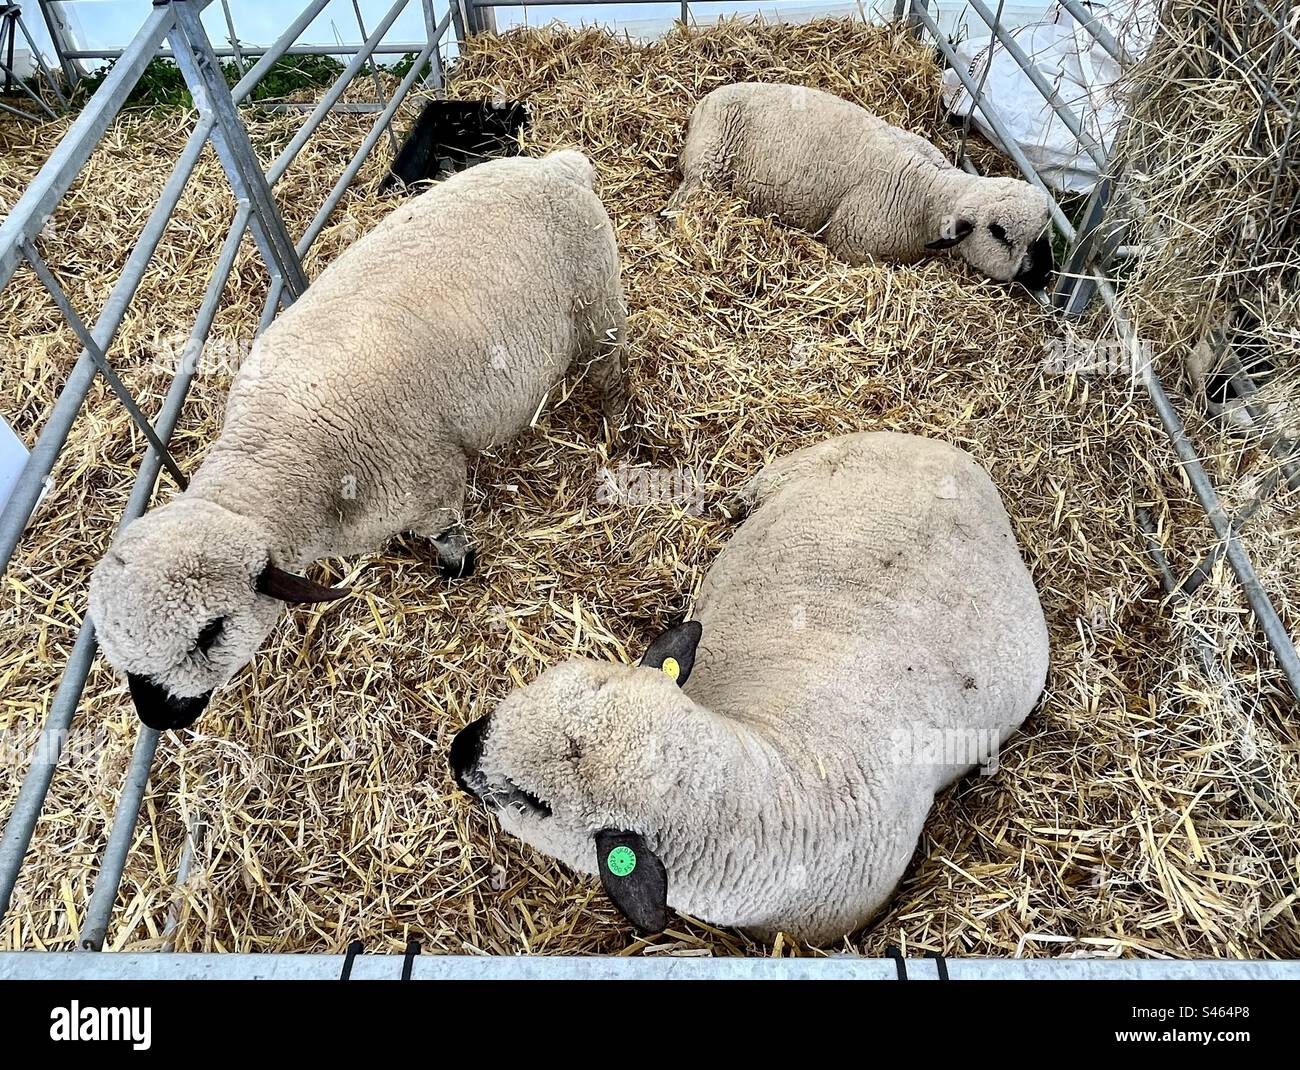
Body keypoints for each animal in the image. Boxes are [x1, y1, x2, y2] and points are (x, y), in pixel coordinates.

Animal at [89, 152, 626, 738]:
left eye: (210, 631)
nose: (155, 716)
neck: (280, 450)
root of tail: (558, 165)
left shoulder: (431, 481)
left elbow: (447, 534)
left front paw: (455, 570)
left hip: (600, 309)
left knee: (612, 369)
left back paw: (614, 424)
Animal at [670, 82, 1055, 288]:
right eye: (1000, 234)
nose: (1047, 275)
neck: (928, 191)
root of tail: (705, 100)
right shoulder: (852, 244)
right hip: (707, 165)